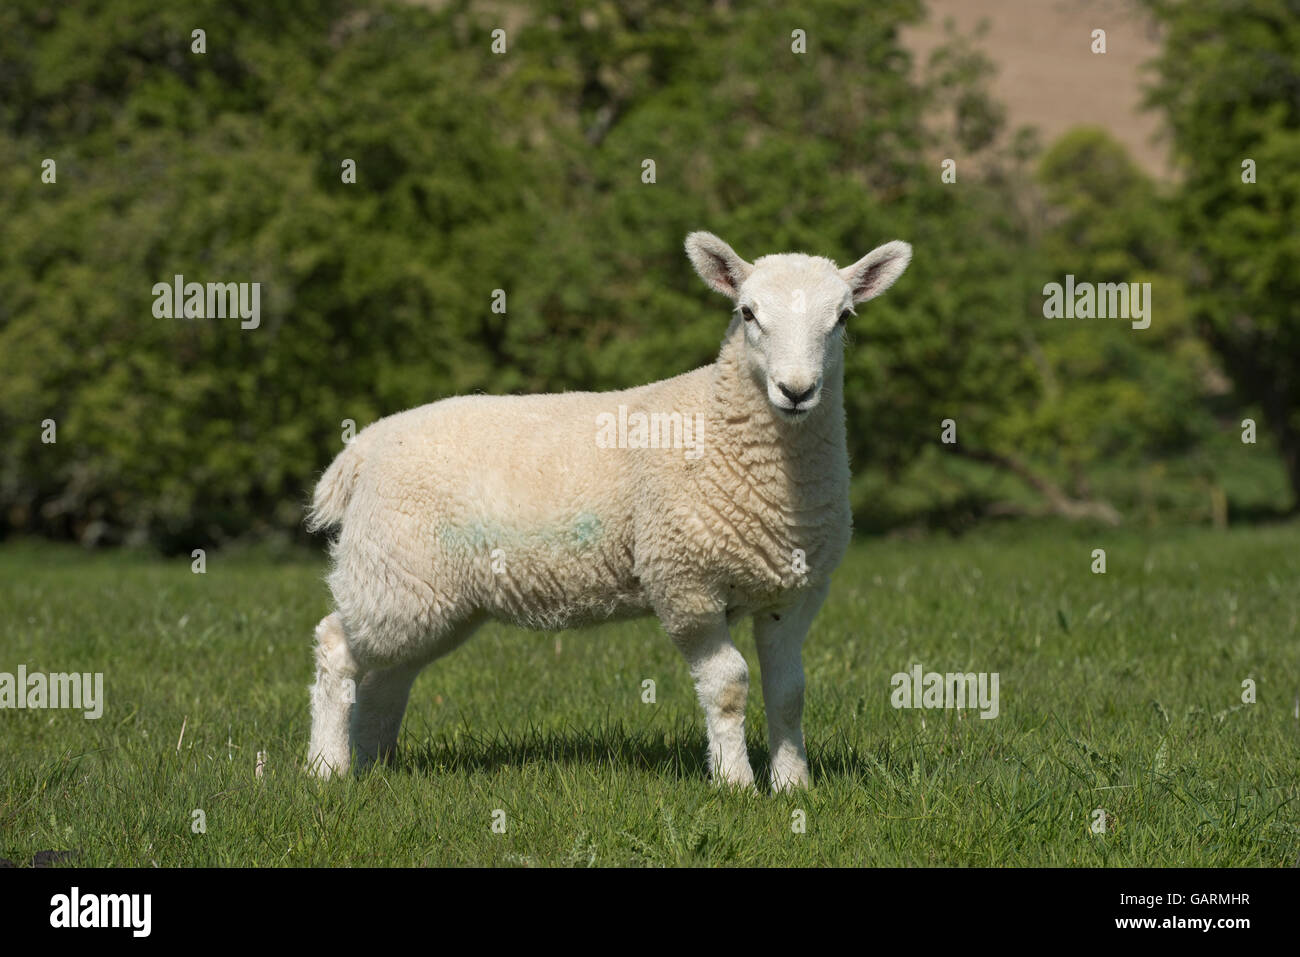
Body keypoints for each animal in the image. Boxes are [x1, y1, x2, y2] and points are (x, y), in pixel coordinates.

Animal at [305, 227, 915, 790]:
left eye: (843, 317)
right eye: (747, 312)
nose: (796, 390)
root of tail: (363, 449)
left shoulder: (796, 591)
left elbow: (788, 691)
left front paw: (794, 786)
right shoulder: (684, 583)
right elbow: (728, 685)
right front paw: (736, 785)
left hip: (431, 595)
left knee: (388, 675)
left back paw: (376, 766)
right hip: (394, 571)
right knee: (337, 648)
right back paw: (327, 770)